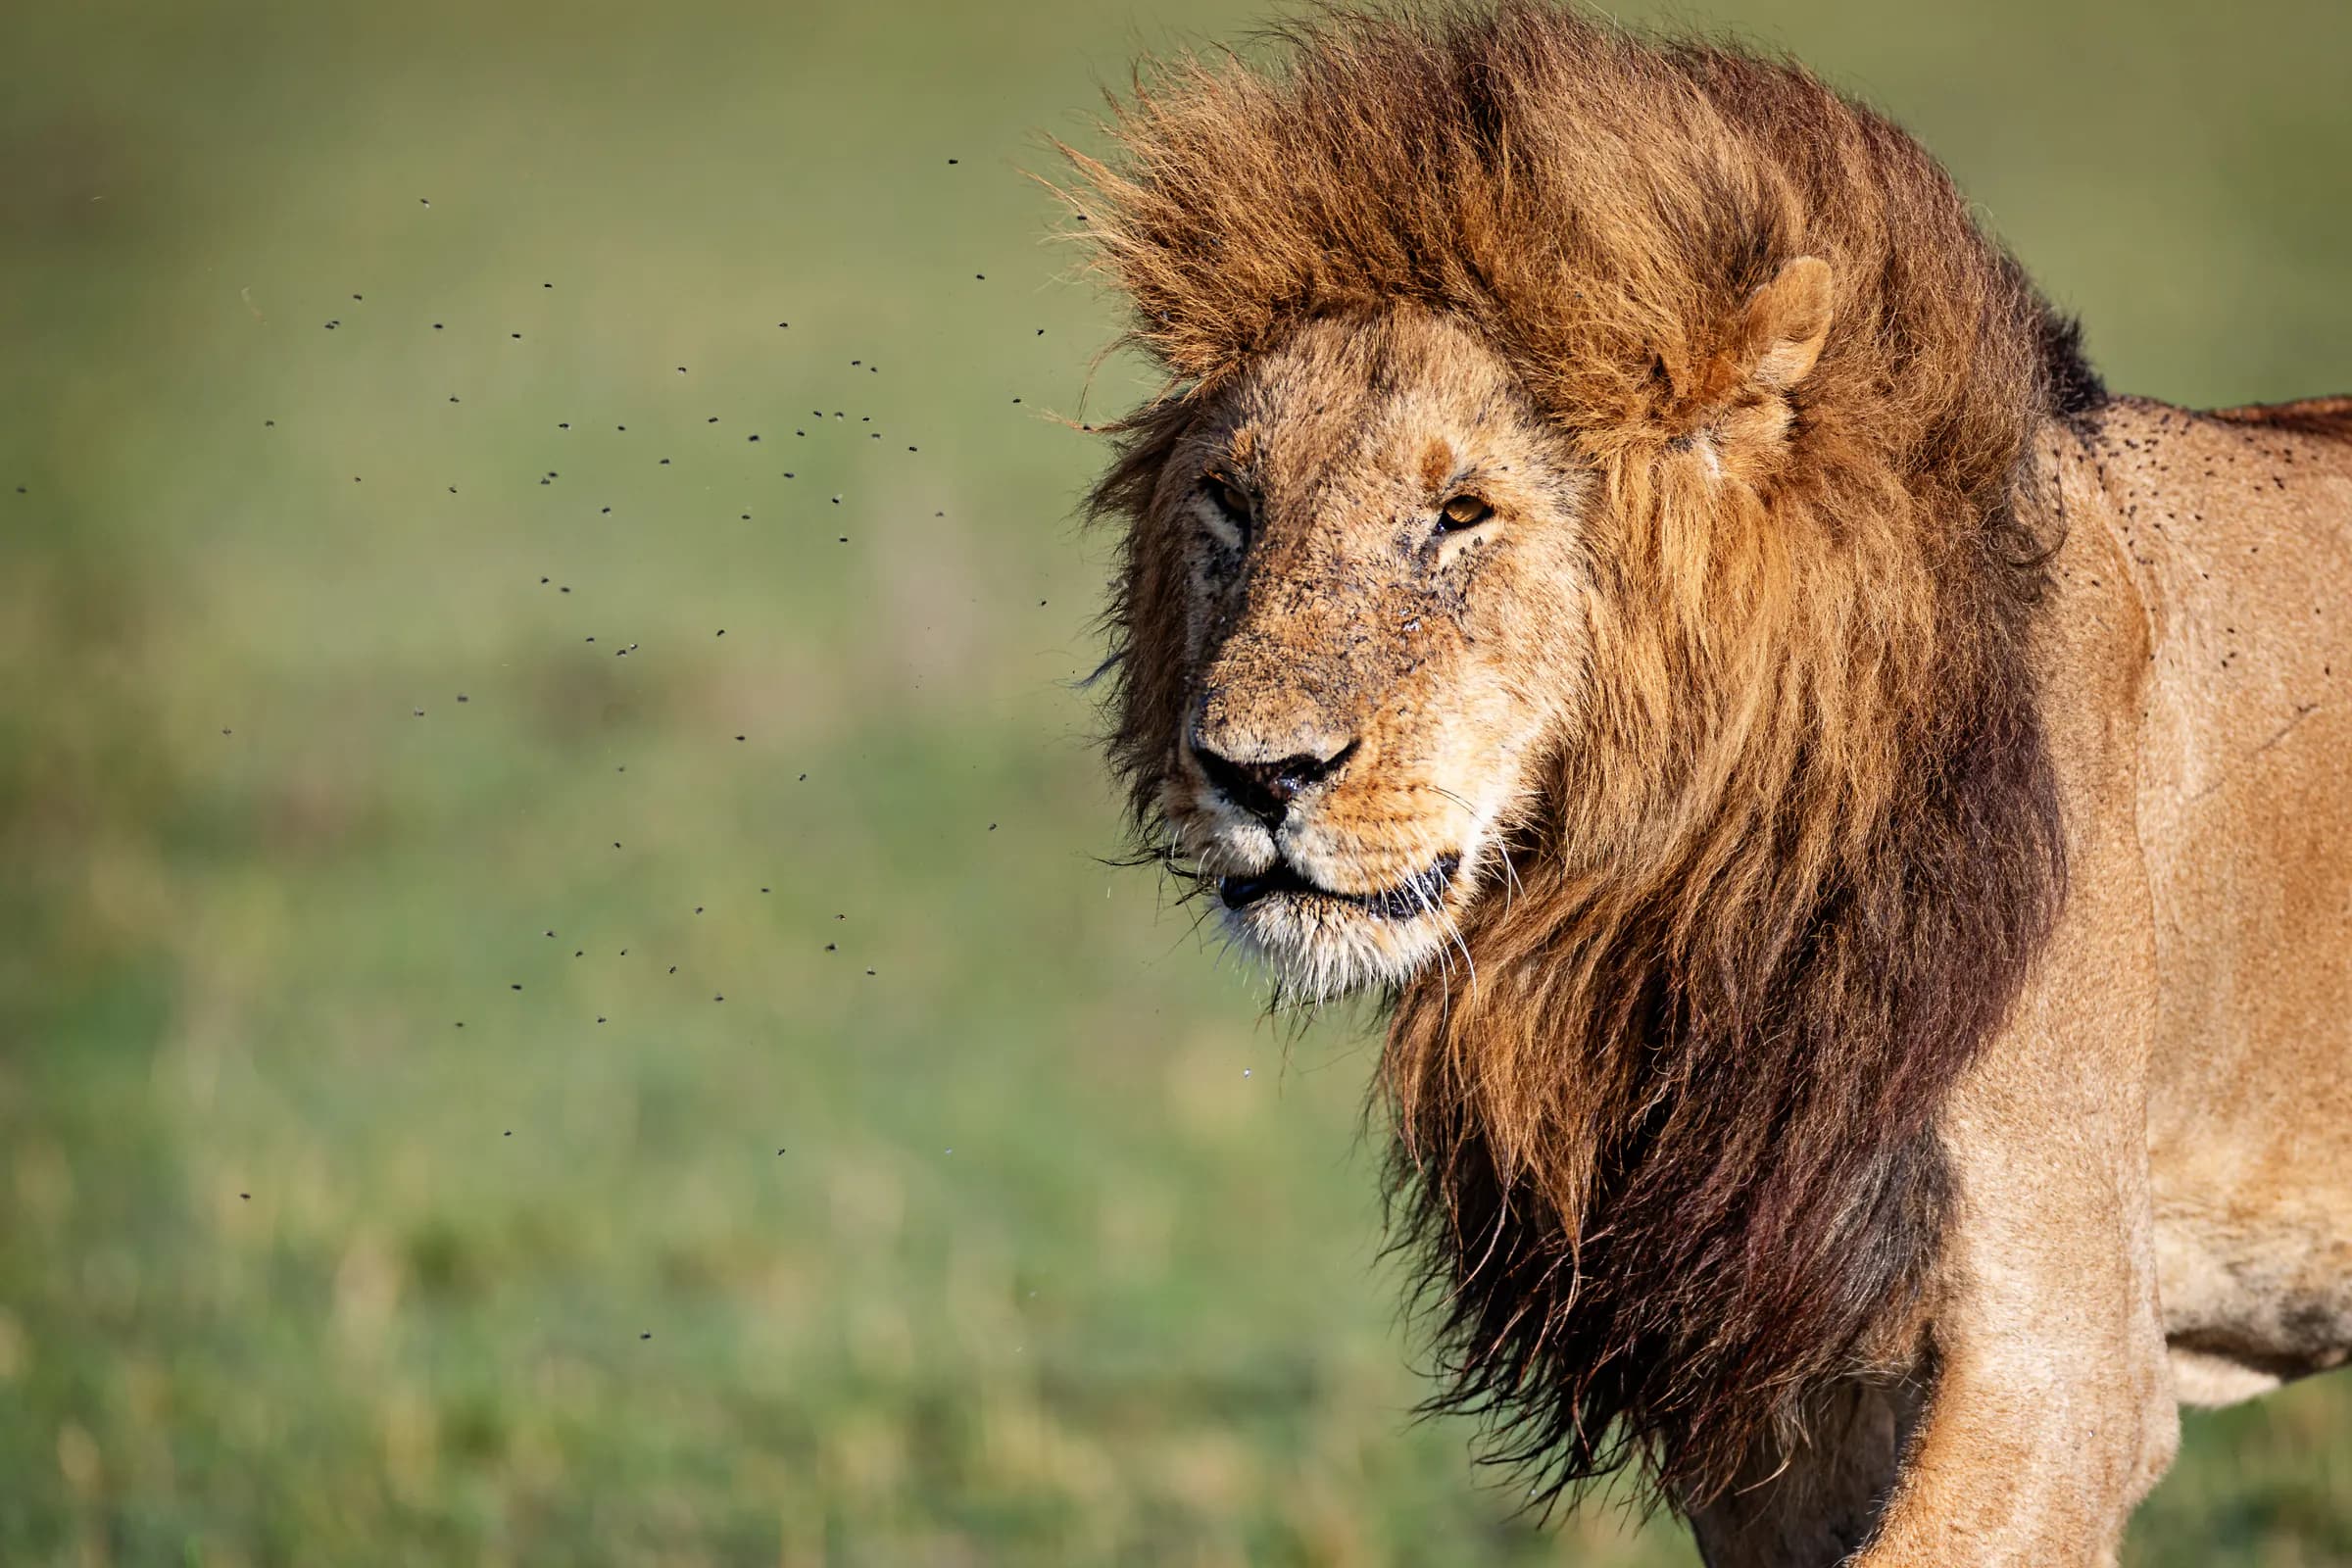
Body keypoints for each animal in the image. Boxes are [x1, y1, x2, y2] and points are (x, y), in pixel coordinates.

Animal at [1055, 4, 2352, 1562]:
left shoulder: (2062, 1362)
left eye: (1461, 513)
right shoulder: (1776, 1404)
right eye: (1232, 503)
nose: (1252, 773)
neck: (1671, 907)